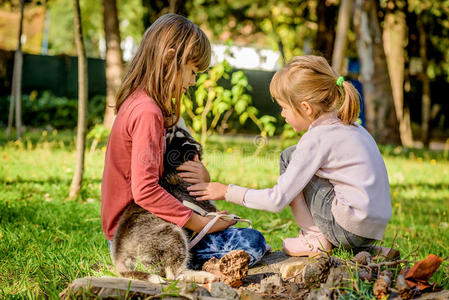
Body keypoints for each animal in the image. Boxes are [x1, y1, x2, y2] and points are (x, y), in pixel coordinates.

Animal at [112, 126, 217, 278]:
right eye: (184, 134)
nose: (175, 126)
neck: (171, 169)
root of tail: (119, 255)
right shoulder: (207, 209)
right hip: (174, 234)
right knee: (176, 274)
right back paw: (204, 276)